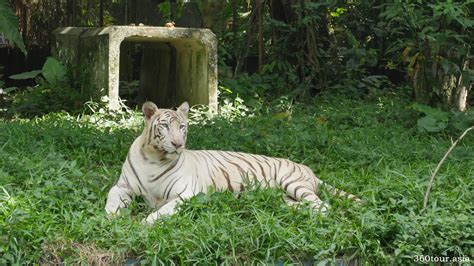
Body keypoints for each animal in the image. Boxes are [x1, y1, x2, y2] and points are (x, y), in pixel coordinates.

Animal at [104, 101, 360, 223]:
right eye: (165, 126)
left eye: (183, 127)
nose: (178, 144)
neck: (154, 158)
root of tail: (309, 170)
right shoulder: (123, 186)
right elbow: (111, 197)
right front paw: (111, 218)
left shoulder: (186, 193)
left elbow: (163, 210)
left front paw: (144, 224)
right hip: (284, 195)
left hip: (293, 183)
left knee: (323, 206)